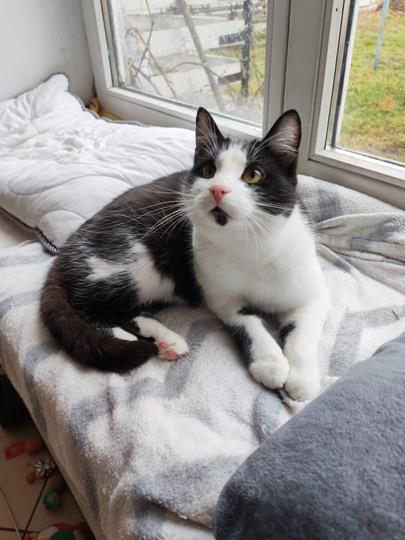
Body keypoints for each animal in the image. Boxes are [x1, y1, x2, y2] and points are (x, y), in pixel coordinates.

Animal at [40, 107, 330, 401]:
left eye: (253, 175)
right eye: (209, 170)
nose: (218, 189)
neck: (250, 245)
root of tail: (69, 246)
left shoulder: (312, 290)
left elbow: (304, 330)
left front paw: (302, 378)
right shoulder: (221, 297)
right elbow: (247, 322)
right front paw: (269, 362)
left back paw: (165, 340)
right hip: (130, 261)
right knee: (85, 303)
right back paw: (133, 339)